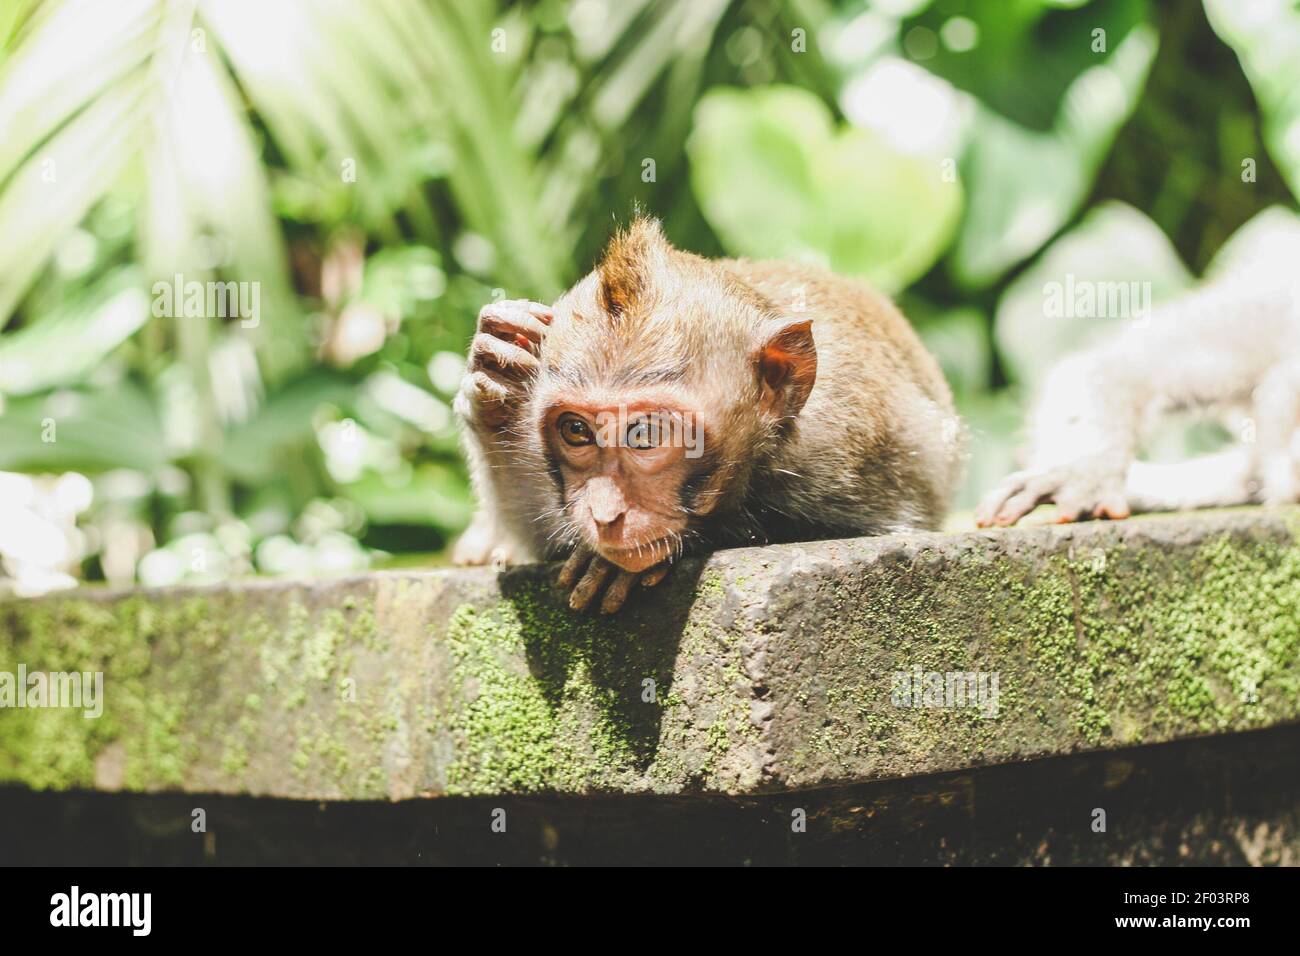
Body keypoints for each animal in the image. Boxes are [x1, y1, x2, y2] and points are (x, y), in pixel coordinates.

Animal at [452, 217, 961, 613]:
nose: (604, 513)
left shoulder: (851, 446)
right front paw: (496, 379)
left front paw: (616, 564)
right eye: (576, 430)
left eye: (645, 435)